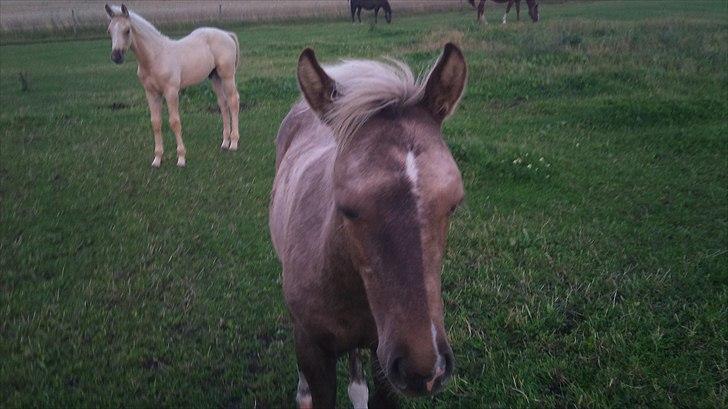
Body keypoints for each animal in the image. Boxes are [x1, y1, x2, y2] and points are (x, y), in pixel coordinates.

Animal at [105, 3, 242, 167]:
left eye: (127, 30)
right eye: (109, 30)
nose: (116, 56)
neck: (155, 57)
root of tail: (226, 34)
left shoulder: (171, 92)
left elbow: (174, 122)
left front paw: (181, 158)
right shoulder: (151, 93)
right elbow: (156, 123)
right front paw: (157, 159)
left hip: (227, 76)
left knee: (233, 101)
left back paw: (234, 143)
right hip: (215, 77)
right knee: (223, 104)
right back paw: (225, 143)